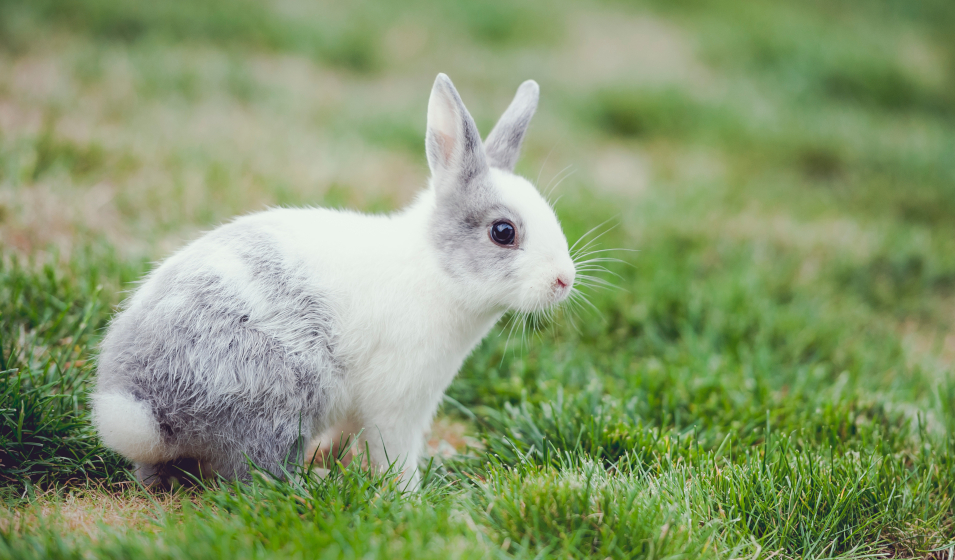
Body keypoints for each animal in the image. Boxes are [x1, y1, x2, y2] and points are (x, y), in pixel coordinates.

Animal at [91, 73, 577, 490]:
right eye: (503, 232)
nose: (564, 280)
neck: (437, 270)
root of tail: (151, 412)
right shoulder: (398, 404)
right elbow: (393, 452)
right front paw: (408, 495)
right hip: (277, 402)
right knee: (254, 475)